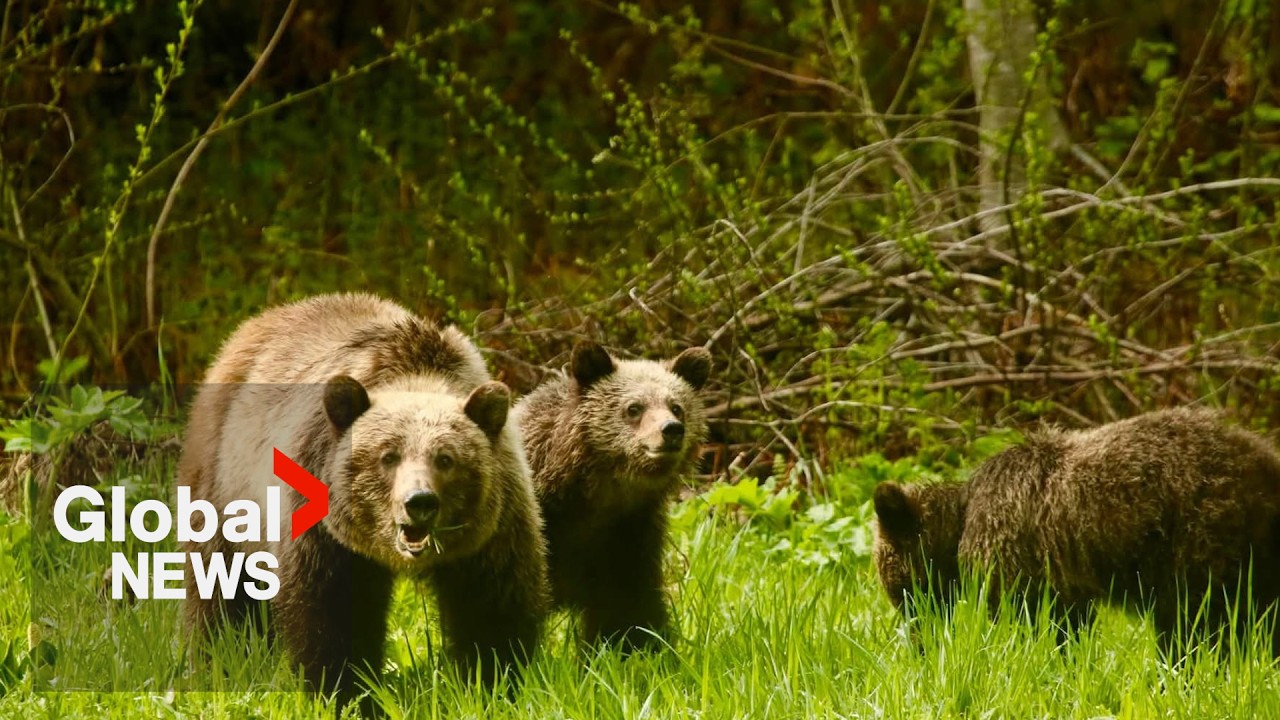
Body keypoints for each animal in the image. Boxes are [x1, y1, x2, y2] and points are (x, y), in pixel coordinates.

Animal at [178, 293, 549, 706]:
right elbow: (335, 616)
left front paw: (493, 684)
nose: (419, 502)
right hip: (226, 483)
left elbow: (492, 609)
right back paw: (217, 661)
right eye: (388, 456)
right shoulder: (324, 530)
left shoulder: (493, 528)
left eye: (446, 459)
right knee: (222, 586)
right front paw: (345, 692)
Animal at [873, 407, 1280, 659]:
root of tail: (1264, 462)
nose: (919, 642)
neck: (959, 523)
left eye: (901, 589)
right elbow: (1069, 622)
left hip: (1199, 537)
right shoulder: (1061, 579)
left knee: (1194, 621)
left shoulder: (1016, 556)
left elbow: (1036, 622)